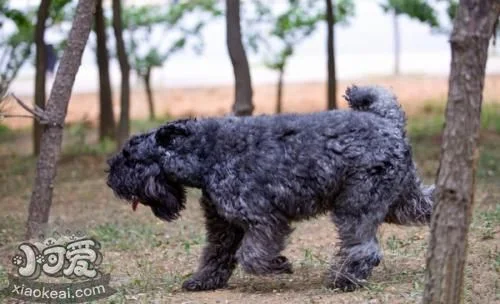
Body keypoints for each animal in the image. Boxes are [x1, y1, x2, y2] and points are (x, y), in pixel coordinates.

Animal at [106, 85, 434, 292]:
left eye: (130, 157)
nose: (111, 179)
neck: (207, 154)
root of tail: (389, 123)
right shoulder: (223, 224)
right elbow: (215, 254)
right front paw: (203, 281)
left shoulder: (262, 219)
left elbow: (251, 256)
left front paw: (279, 265)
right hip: (401, 200)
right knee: (427, 204)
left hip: (356, 205)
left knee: (363, 247)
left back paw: (344, 280)